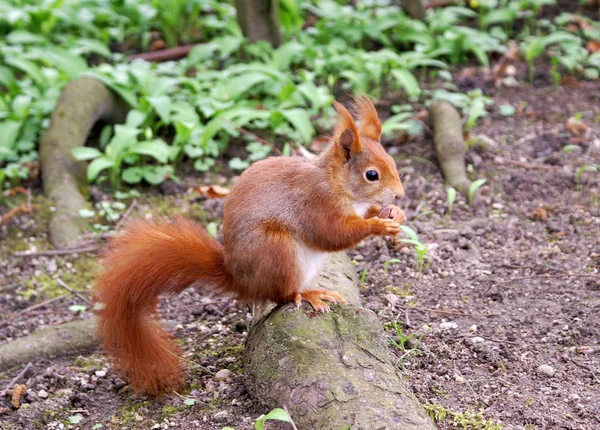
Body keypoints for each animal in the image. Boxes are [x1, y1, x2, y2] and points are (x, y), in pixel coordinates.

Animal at [94, 95, 408, 396]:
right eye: (371, 175)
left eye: (393, 163)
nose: (401, 195)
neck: (337, 183)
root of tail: (243, 279)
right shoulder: (315, 203)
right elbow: (331, 234)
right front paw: (378, 225)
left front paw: (394, 214)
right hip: (277, 249)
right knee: (282, 295)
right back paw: (307, 295)